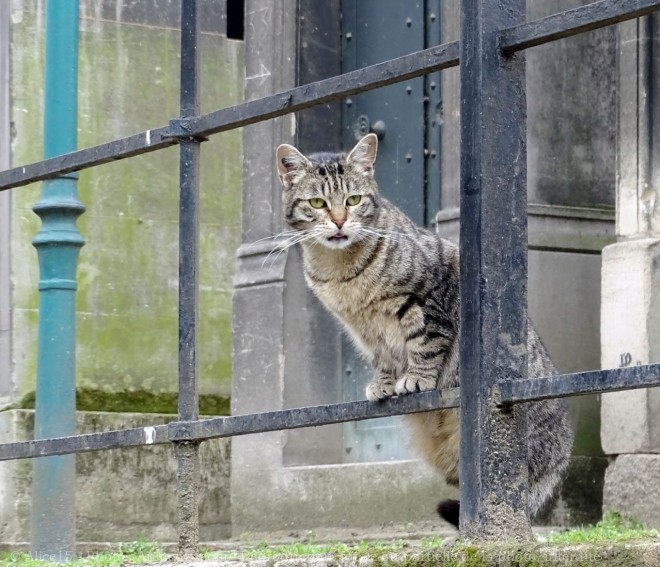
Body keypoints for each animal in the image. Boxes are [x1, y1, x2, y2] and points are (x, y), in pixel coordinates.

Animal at [274, 133, 572, 528]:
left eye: (353, 200)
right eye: (317, 203)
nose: (339, 222)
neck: (340, 273)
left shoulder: (428, 301)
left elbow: (425, 344)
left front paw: (415, 378)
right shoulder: (365, 331)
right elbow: (383, 357)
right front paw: (383, 383)